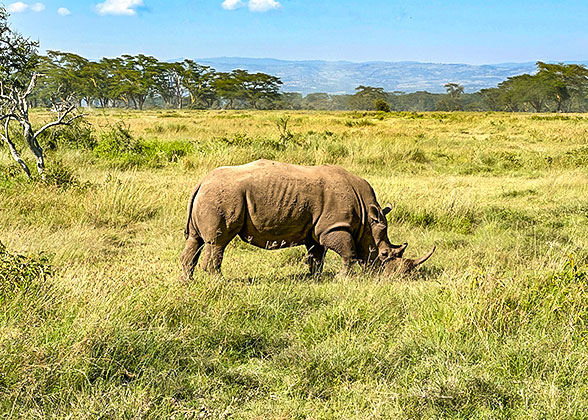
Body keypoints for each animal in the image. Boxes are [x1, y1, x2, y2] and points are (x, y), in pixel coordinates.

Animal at [181, 160, 434, 278]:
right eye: (383, 255)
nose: (395, 277)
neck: (367, 220)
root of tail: (202, 181)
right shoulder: (334, 227)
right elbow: (349, 252)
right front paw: (342, 279)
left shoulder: (318, 230)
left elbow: (316, 256)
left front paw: (315, 279)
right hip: (223, 196)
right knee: (218, 242)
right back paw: (218, 281)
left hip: (211, 195)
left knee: (195, 240)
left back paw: (188, 282)